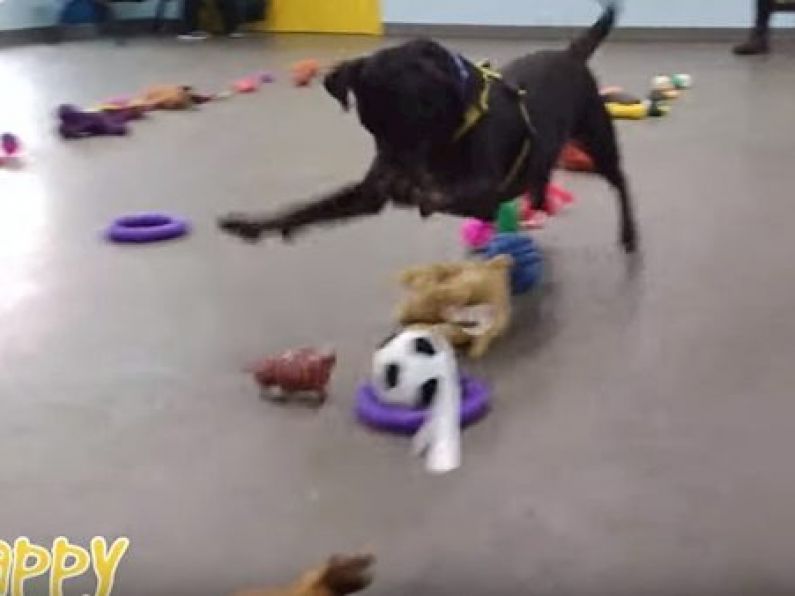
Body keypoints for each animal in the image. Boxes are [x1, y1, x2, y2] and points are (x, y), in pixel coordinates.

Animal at [219, 0, 640, 251]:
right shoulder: (368, 193)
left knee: (620, 180)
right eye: (370, 128)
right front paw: (255, 224)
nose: (391, 175)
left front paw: (422, 190)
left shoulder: (483, 195)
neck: (455, 126)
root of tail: (570, 54)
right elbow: (311, 206)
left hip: (597, 141)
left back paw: (629, 235)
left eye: (418, 122)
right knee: (543, 172)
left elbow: (445, 192)